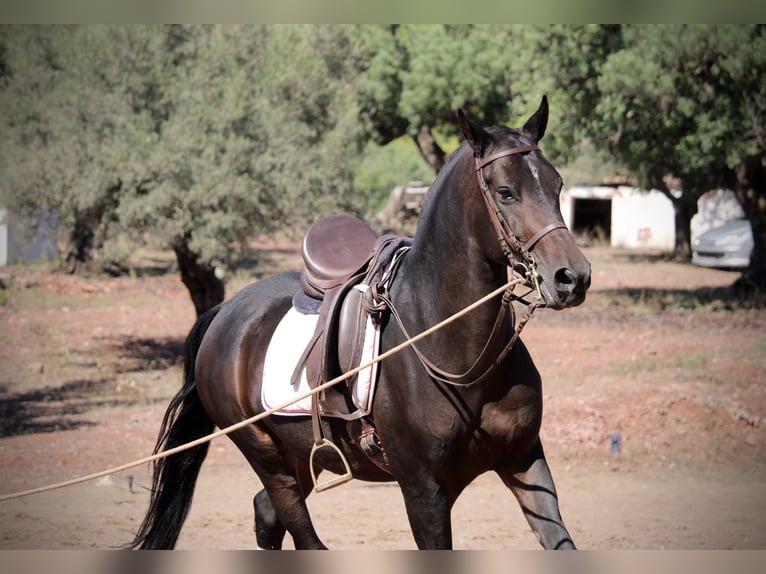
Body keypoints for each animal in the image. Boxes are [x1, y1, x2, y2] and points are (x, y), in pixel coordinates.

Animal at [129, 95, 591, 550]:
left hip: (302, 457)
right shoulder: (424, 492)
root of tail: (224, 313)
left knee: (266, 514)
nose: (572, 277)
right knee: (296, 526)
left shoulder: (525, 461)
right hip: (268, 458)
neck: (461, 355)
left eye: (557, 186)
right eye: (506, 192)